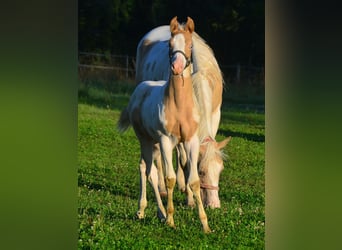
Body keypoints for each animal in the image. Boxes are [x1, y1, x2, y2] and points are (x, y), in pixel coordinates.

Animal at [119, 17, 212, 232]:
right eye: (170, 45)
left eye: (190, 45)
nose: (176, 67)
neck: (179, 107)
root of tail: (140, 89)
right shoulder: (166, 140)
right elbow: (170, 179)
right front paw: (171, 219)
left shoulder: (191, 141)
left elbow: (194, 181)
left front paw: (205, 224)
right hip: (146, 140)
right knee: (148, 170)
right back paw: (150, 211)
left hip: (153, 143)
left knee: (148, 168)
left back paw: (154, 212)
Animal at [136, 20, 230, 207]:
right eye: (201, 172)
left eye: (220, 170)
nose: (214, 204)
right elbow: (186, 161)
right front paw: (190, 198)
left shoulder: (214, 116)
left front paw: (187, 190)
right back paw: (164, 188)